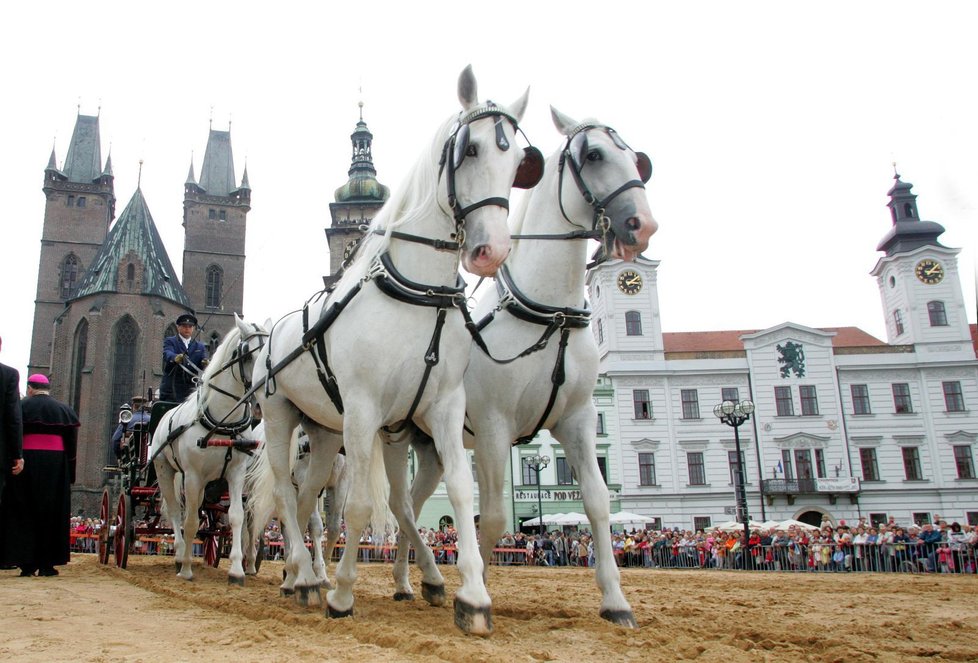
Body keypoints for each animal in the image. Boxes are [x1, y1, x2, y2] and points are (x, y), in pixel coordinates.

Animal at [148, 314, 266, 584]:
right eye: (247, 354)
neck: (222, 421)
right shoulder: (192, 475)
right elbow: (189, 521)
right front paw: (186, 569)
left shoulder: (236, 473)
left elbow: (236, 516)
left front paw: (237, 570)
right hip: (165, 471)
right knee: (175, 511)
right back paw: (179, 555)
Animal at [252, 67, 540, 640]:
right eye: (469, 149)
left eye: (519, 162)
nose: (492, 250)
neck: (418, 295)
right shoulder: (364, 409)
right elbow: (365, 505)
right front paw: (343, 594)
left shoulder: (440, 409)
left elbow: (459, 491)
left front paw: (471, 596)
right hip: (279, 419)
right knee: (285, 497)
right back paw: (304, 576)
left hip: (323, 434)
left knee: (308, 501)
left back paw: (304, 576)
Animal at [390, 107, 656, 628]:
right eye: (594, 155)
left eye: (637, 159)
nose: (643, 224)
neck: (550, 316)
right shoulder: (495, 426)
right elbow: (492, 516)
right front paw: (475, 591)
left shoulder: (576, 421)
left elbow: (597, 502)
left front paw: (616, 601)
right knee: (400, 507)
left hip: (434, 451)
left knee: (411, 506)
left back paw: (411, 581)